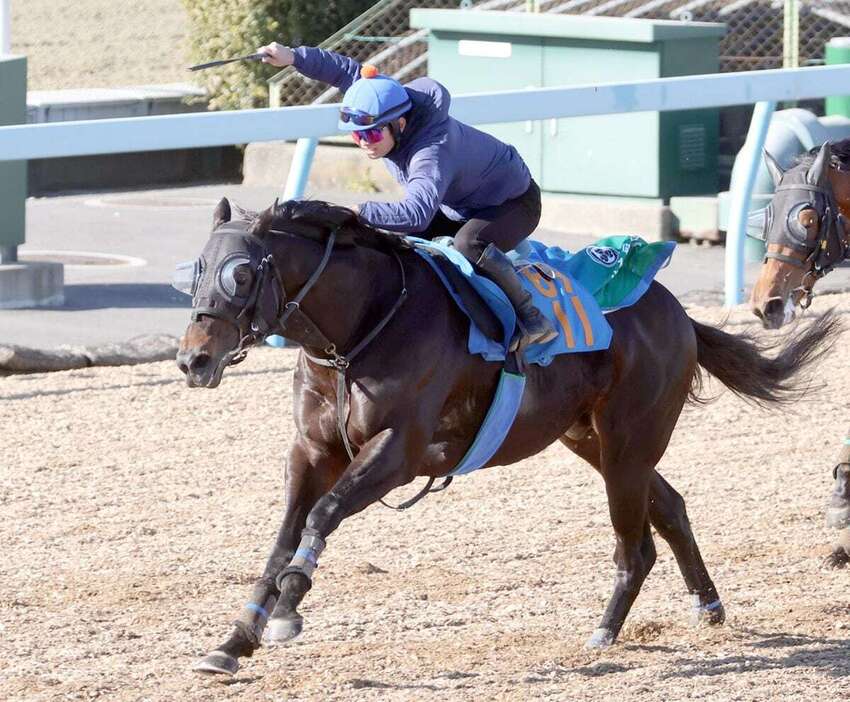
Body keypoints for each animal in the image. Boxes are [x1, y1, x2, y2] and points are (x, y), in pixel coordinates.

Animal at [174, 197, 836, 676]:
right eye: (196, 270)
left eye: (240, 273)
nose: (192, 360)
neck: (363, 325)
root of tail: (679, 315)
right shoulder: (312, 452)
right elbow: (282, 540)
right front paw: (234, 642)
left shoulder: (398, 452)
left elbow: (322, 517)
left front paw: (288, 610)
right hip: (589, 439)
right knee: (669, 506)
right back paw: (708, 604)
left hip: (628, 442)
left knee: (636, 545)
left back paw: (604, 631)